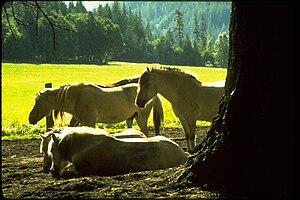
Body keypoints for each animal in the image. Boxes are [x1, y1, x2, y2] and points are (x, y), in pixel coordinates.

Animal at [29, 81, 163, 136]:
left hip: (141, 118)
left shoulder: (90, 122)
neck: (77, 97)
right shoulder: (81, 121)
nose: (30, 118)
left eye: (38, 102)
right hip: (130, 118)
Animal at [44, 126, 188, 177]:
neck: (85, 145)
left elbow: (66, 172)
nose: (51, 171)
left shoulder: (82, 170)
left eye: (51, 150)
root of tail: (183, 154)